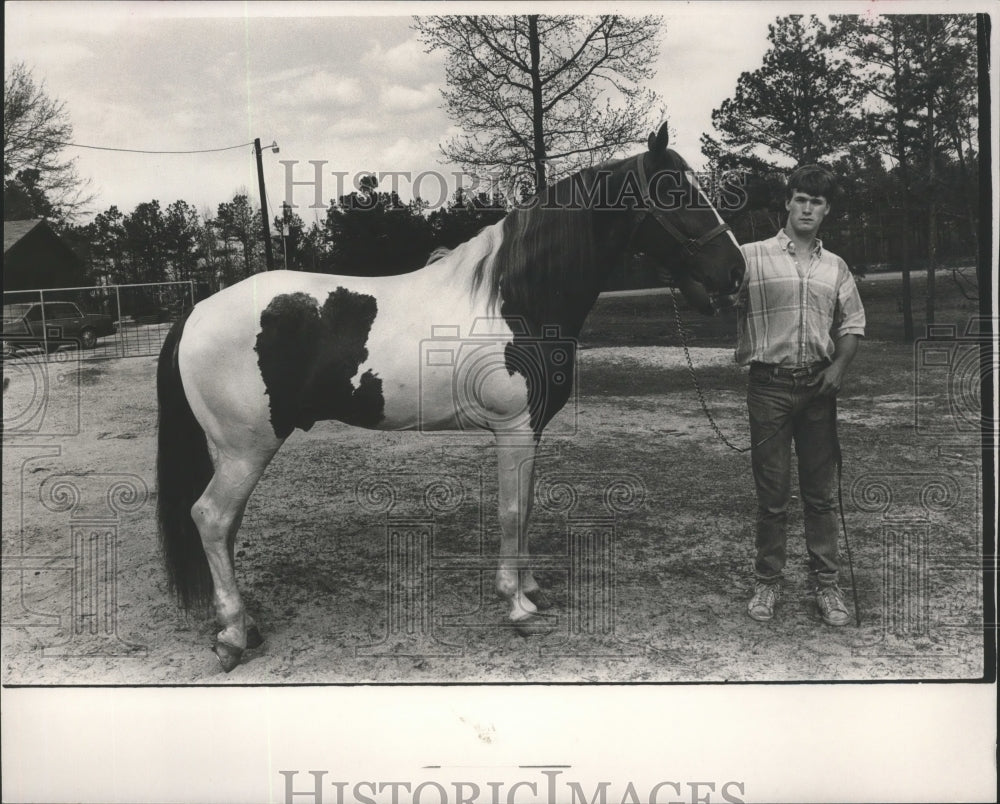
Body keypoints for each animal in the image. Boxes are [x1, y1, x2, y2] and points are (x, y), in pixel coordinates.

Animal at [156, 122, 748, 668]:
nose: (735, 271)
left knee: (225, 527)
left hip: (231, 451)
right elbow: (512, 509)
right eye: (674, 192)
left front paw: (530, 588)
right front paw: (517, 607)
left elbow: (525, 507)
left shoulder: (530, 429)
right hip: (246, 449)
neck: (515, 300)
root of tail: (196, 310)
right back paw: (234, 635)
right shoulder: (513, 427)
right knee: (211, 518)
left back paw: (242, 623)